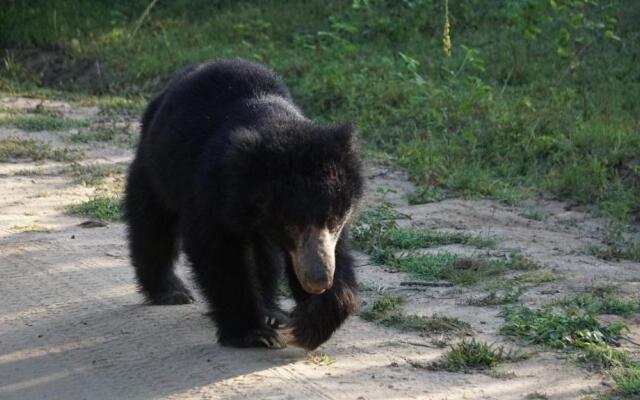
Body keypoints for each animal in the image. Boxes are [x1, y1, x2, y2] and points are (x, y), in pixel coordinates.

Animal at [124, 59, 362, 350]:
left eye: (333, 219)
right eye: (292, 225)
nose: (319, 281)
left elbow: (337, 253)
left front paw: (311, 323)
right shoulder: (214, 190)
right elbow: (217, 251)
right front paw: (253, 333)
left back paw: (273, 312)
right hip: (154, 168)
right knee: (152, 224)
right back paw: (170, 291)